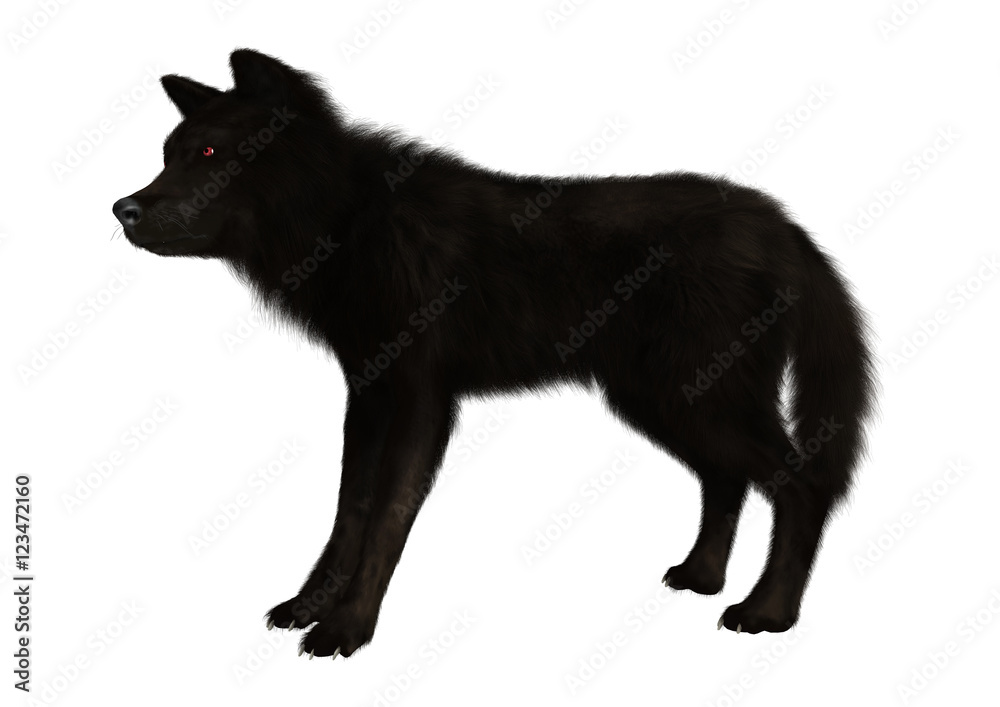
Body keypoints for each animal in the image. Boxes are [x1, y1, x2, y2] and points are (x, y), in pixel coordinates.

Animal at [113, 49, 876, 659]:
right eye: (168, 153)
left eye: (209, 155)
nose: (122, 209)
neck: (355, 223)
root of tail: (784, 226)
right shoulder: (369, 394)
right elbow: (348, 511)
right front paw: (309, 607)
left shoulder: (422, 400)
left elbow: (386, 519)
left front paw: (347, 631)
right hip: (667, 401)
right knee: (727, 480)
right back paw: (701, 577)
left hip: (695, 400)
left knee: (802, 485)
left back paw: (768, 613)